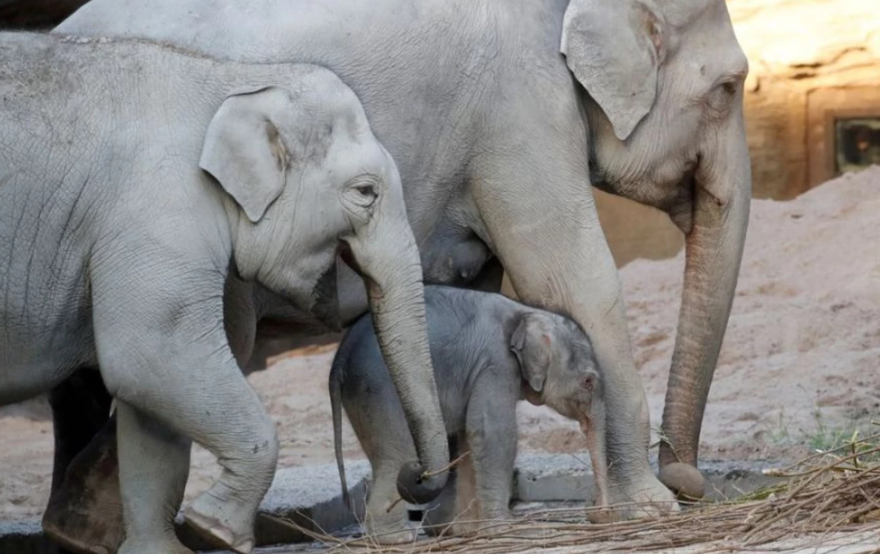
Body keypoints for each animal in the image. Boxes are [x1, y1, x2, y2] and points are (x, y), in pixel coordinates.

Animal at [0, 32, 450, 552]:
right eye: (365, 192)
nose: (414, 475)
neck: (233, 78)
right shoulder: (159, 211)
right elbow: (149, 355)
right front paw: (215, 530)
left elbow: (149, 402)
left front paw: (166, 547)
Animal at [326, 286, 608, 540]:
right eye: (588, 381)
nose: (593, 509)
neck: (525, 311)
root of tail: (339, 358)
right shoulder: (496, 364)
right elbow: (491, 432)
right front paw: (506, 529)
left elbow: (468, 438)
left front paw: (469, 531)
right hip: (379, 390)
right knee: (398, 455)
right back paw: (397, 538)